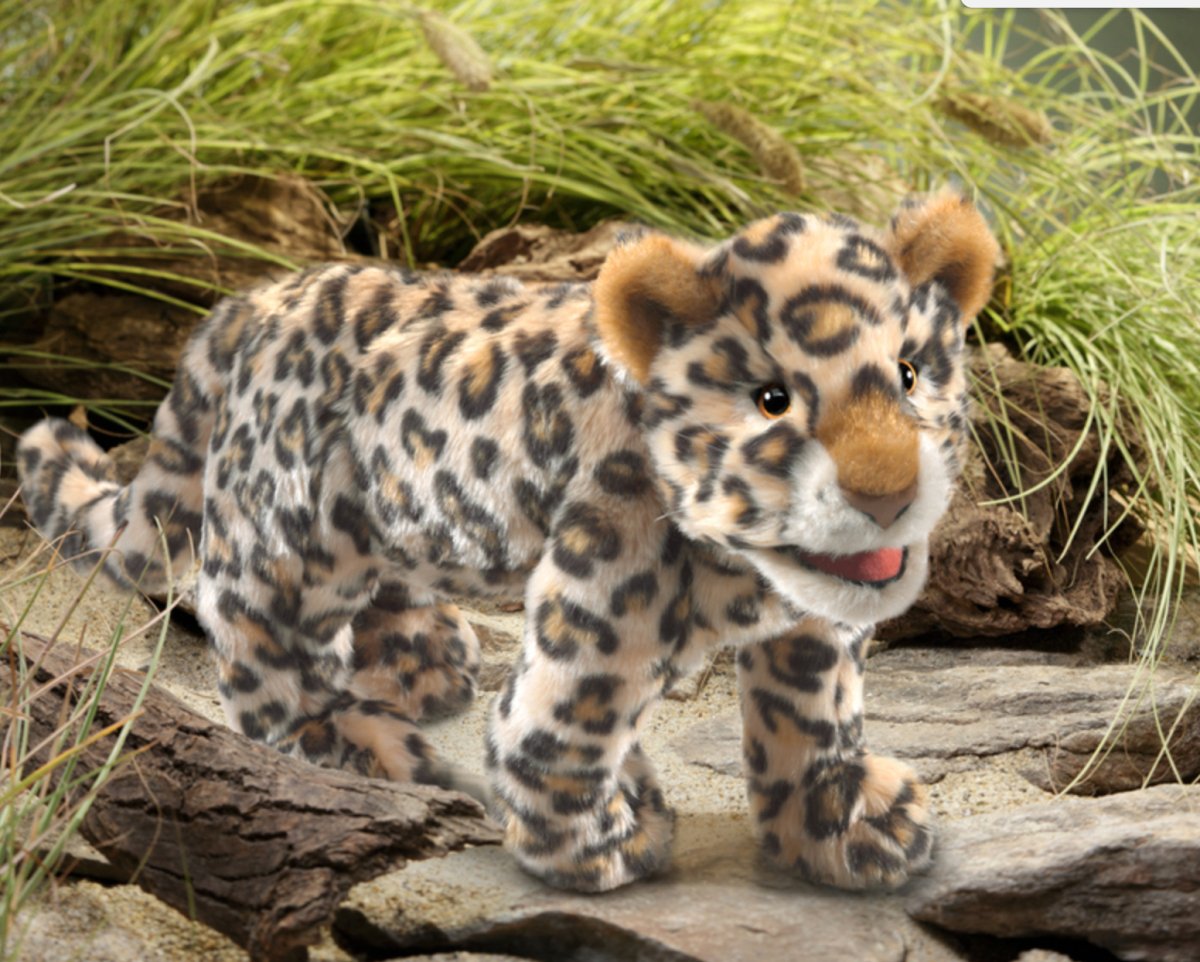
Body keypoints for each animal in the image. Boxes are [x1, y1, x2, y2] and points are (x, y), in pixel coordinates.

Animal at [17, 189, 998, 894]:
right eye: (772, 401)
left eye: (910, 374)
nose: (887, 493)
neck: (748, 564)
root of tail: (248, 302)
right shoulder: (603, 599)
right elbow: (562, 720)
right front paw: (599, 841)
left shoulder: (811, 625)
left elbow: (809, 716)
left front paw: (840, 823)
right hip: (292, 538)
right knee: (260, 646)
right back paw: (360, 746)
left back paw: (419, 659)